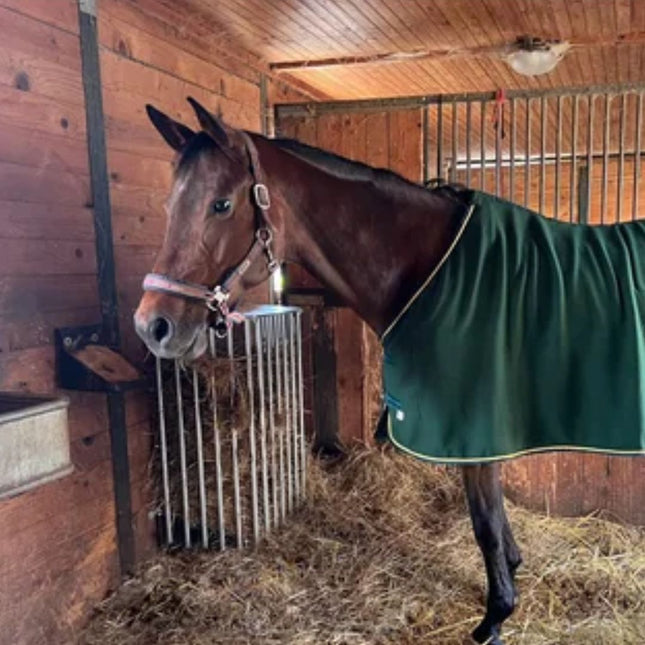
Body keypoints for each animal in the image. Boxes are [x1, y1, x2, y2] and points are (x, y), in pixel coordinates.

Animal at [133, 97, 526, 645]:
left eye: (221, 205)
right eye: (171, 206)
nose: (153, 326)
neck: (440, 272)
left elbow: (485, 519)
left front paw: (495, 615)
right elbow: (495, 515)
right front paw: (510, 576)